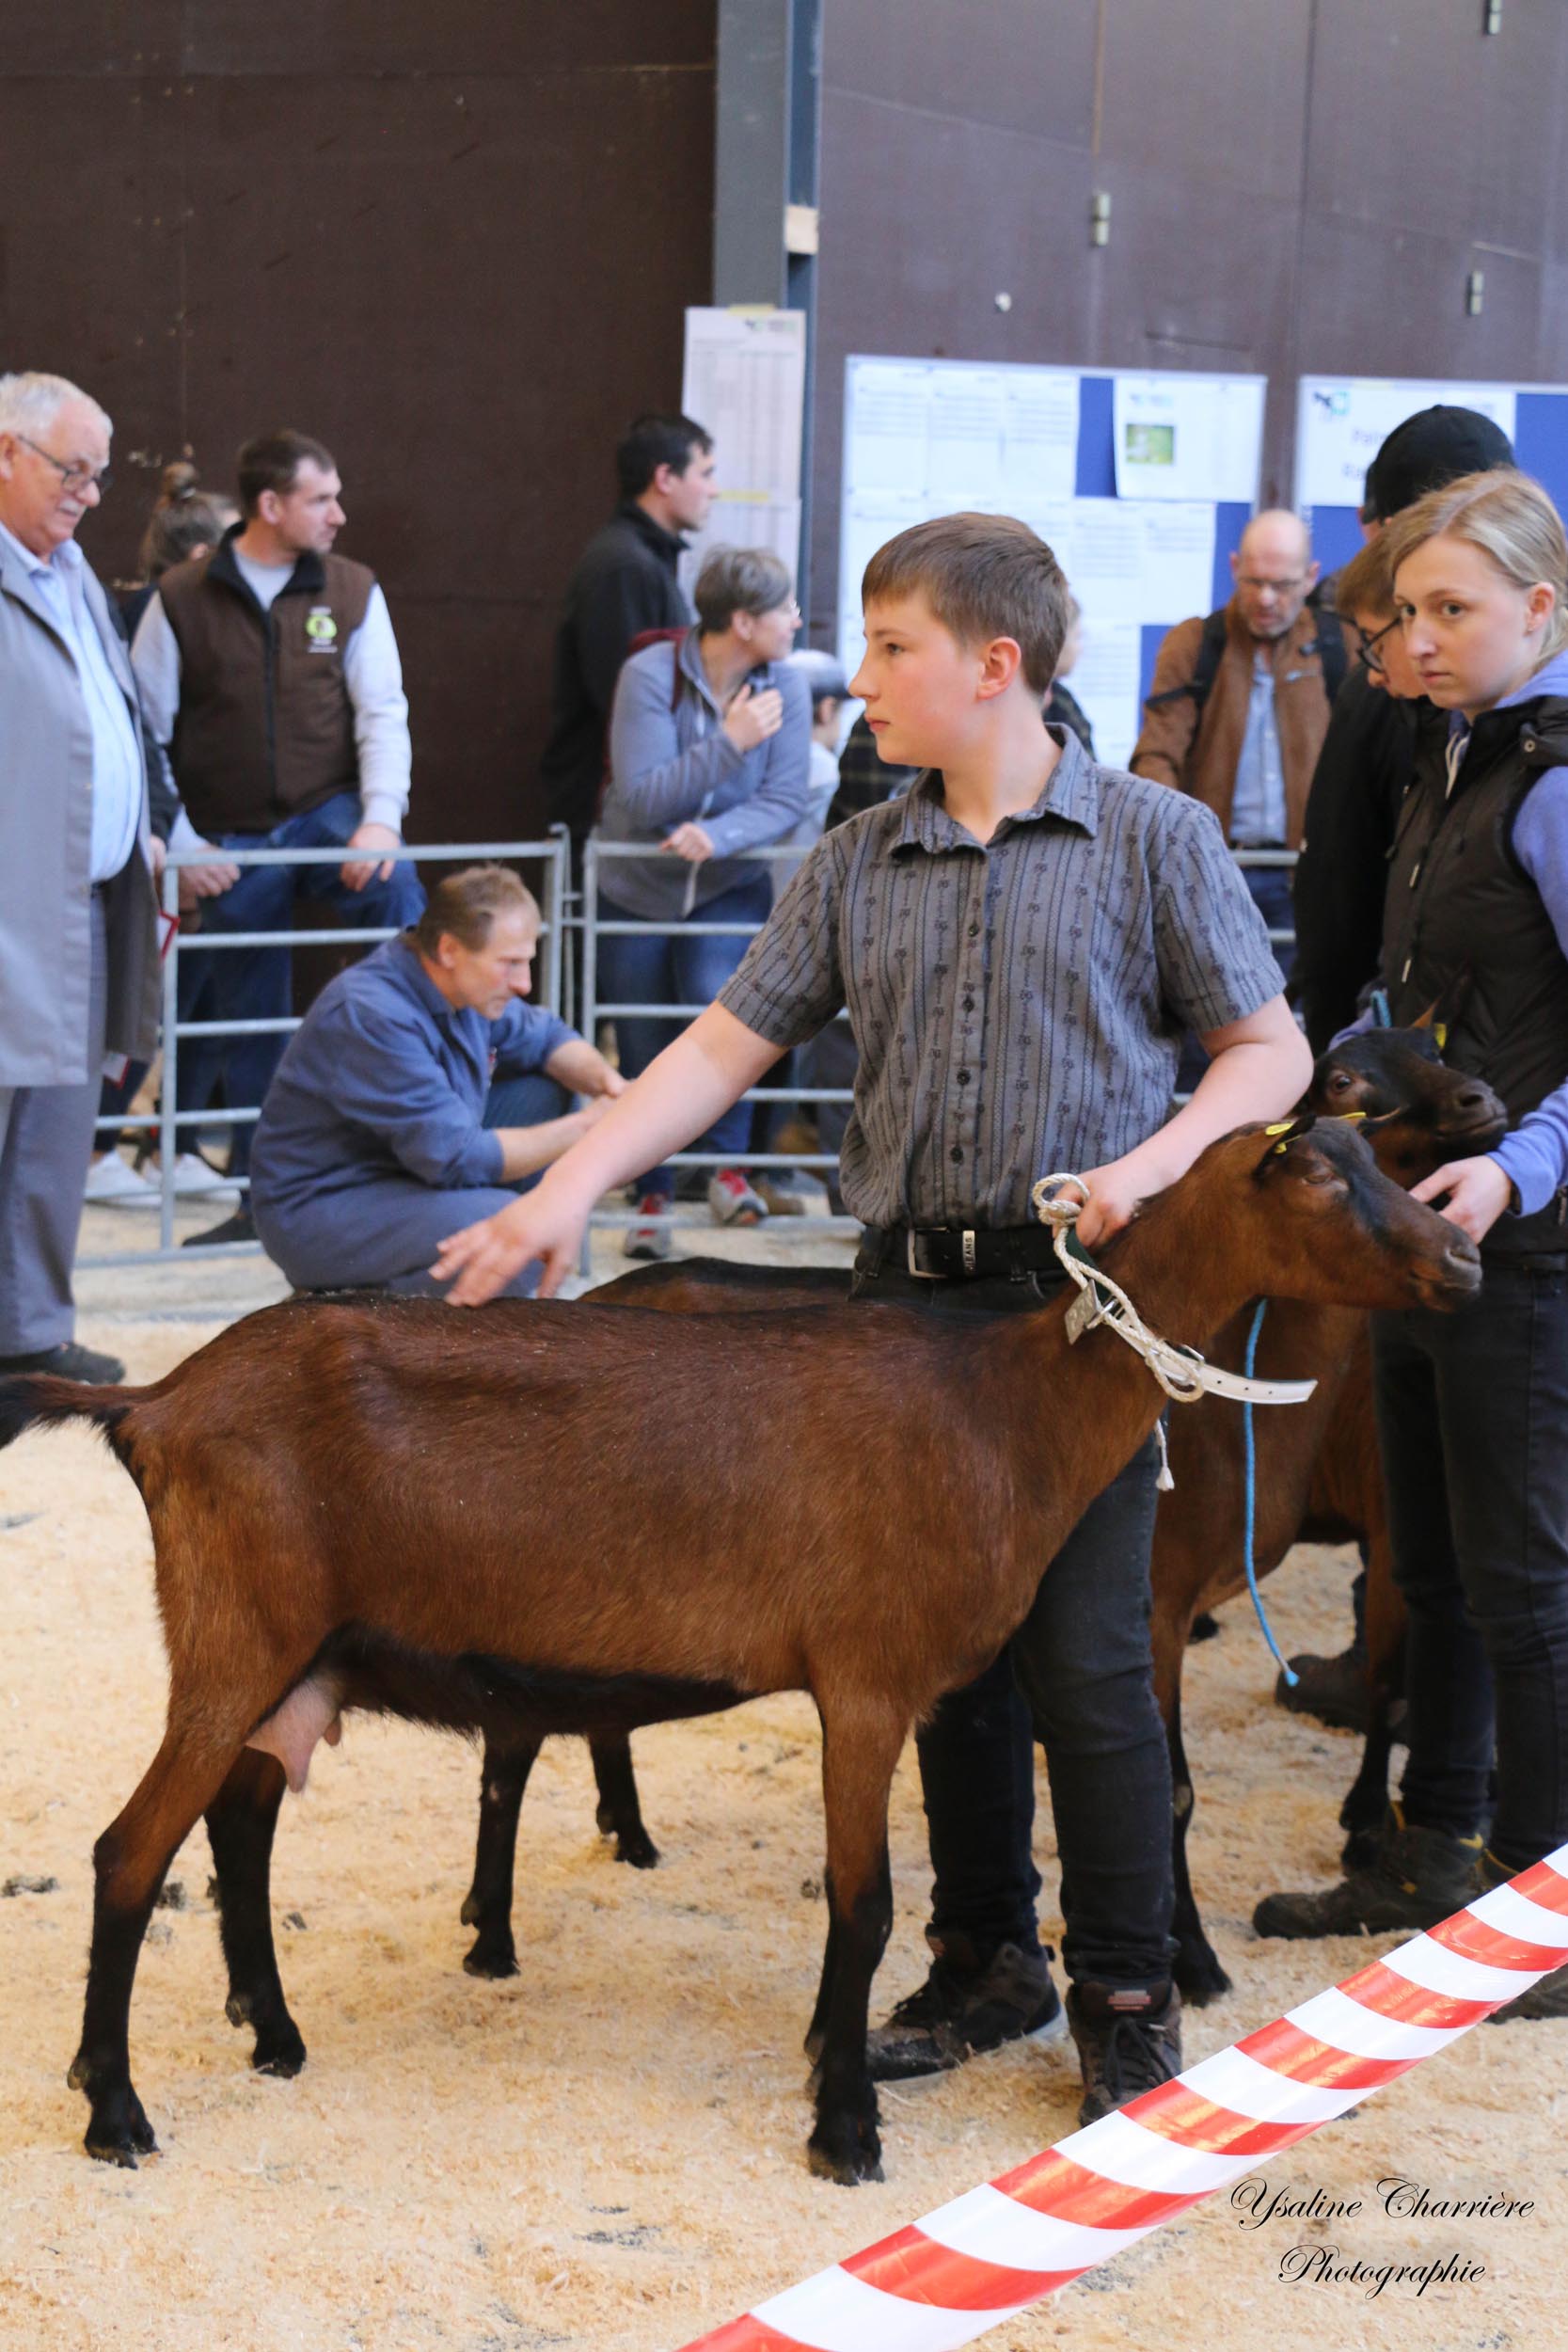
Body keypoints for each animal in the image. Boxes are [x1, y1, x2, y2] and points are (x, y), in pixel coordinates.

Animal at [0, 1121, 1477, 2179]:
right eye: (1320, 1178)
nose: (1460, 1262)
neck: (1005, 1406)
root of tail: (155, 1402)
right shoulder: (866, 1678)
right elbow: (862, 1903)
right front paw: (844, 2128)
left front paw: (835, 2064)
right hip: (235, 1629)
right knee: (130, 1852)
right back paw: (116, 2111)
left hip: (297, 1653)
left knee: (238, 1826)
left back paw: (275, 2035)